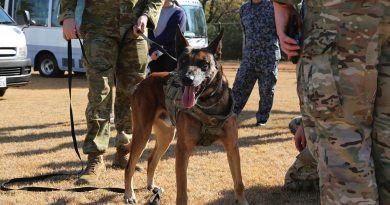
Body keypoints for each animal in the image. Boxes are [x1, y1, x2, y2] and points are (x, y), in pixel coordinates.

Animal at [123, 27, 248, 205]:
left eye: (204, 64)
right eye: (182, 62)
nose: (187, 79)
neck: (209, 105)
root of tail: (146, 80)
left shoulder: (232, 147)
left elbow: (239, 183)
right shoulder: (183, 150)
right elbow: (182, 191)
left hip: (166, 136)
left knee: (151, 160)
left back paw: (152, 187)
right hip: (142, 133)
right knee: (130, 166)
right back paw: (129, 194)